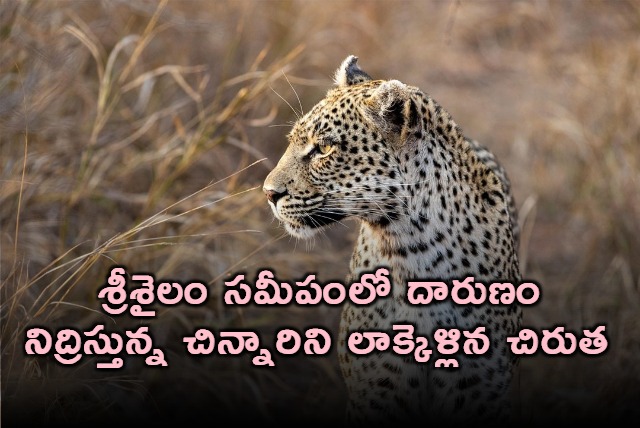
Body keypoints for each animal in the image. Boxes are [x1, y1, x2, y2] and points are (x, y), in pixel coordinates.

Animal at [263, 55, 522, 425]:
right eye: (292, 140)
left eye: (324, 148)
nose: (268, 193)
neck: (412, 249)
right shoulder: (377, 390)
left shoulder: (477, 390)